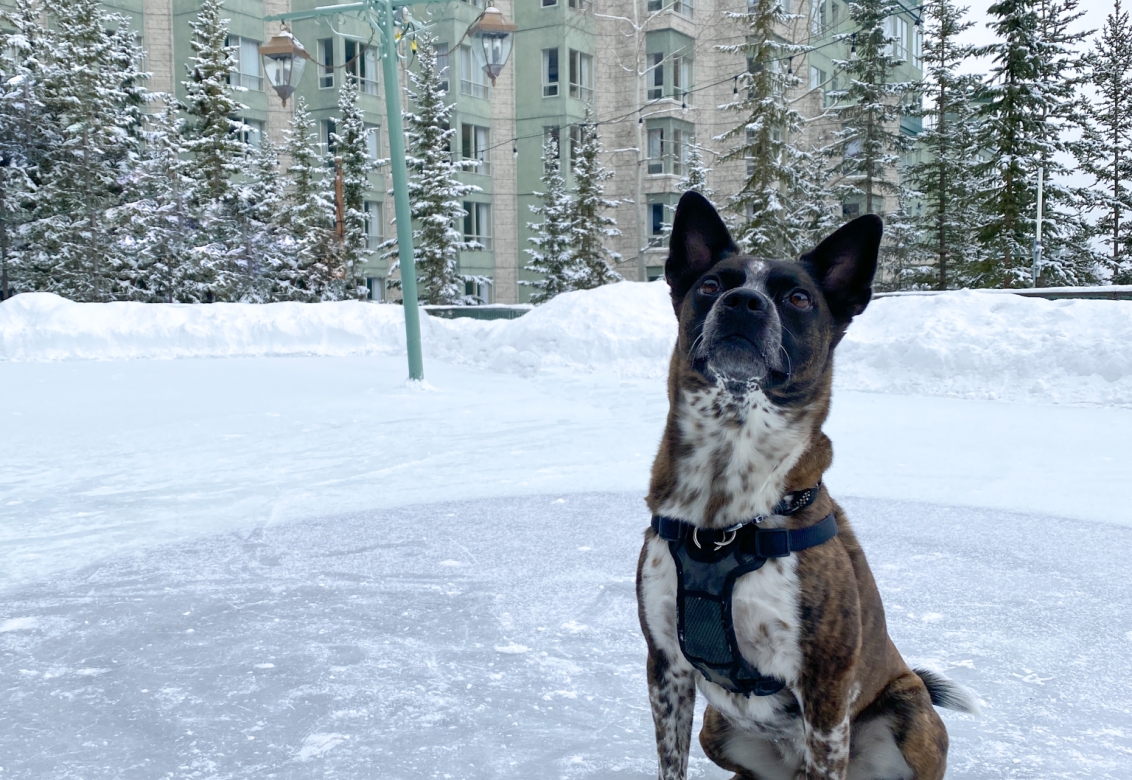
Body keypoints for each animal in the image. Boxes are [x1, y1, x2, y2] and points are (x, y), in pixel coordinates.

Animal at [638, 190, 973, 778]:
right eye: (712, 285)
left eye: (797, 298)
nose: (743, 303)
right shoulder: (665, 666)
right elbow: (669, 763)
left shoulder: (825, 689)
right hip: (716, 728)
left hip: (913, 714)